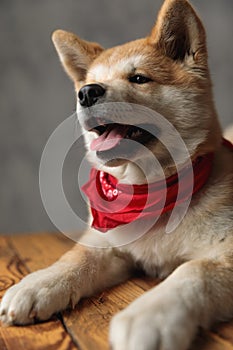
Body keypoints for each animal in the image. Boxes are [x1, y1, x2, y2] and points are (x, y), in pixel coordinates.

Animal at [0, 0, 233, 350]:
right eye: (89, 82)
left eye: (138, 78)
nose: (86, 92)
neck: (152, 193)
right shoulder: (108, 239)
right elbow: (77, 257)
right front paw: (39, 282)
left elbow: (194, 271)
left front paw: (150, 315)